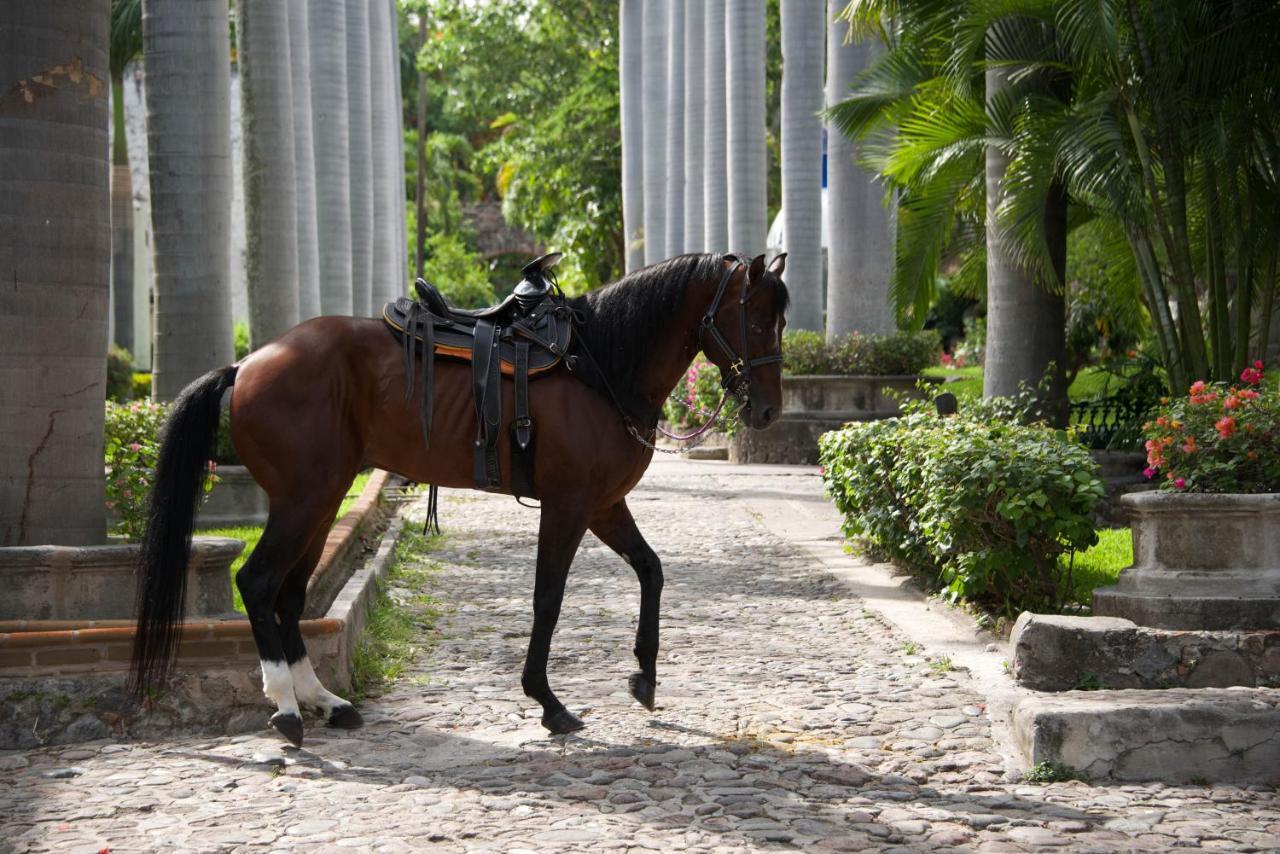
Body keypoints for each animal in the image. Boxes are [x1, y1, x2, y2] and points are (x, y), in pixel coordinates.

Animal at [132, 250, 788, 742]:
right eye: (756, 320)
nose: (767, 411)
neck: (596, 363)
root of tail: (246, 365)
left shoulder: (604, 506)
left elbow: (651, 571)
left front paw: (644, 677)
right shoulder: (570, 506)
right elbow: (547, 598)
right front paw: (548, 702)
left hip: (322, 501)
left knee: (290, 597)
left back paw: (326, 702)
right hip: (303, 501)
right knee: (259, 583)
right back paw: (287, 708)